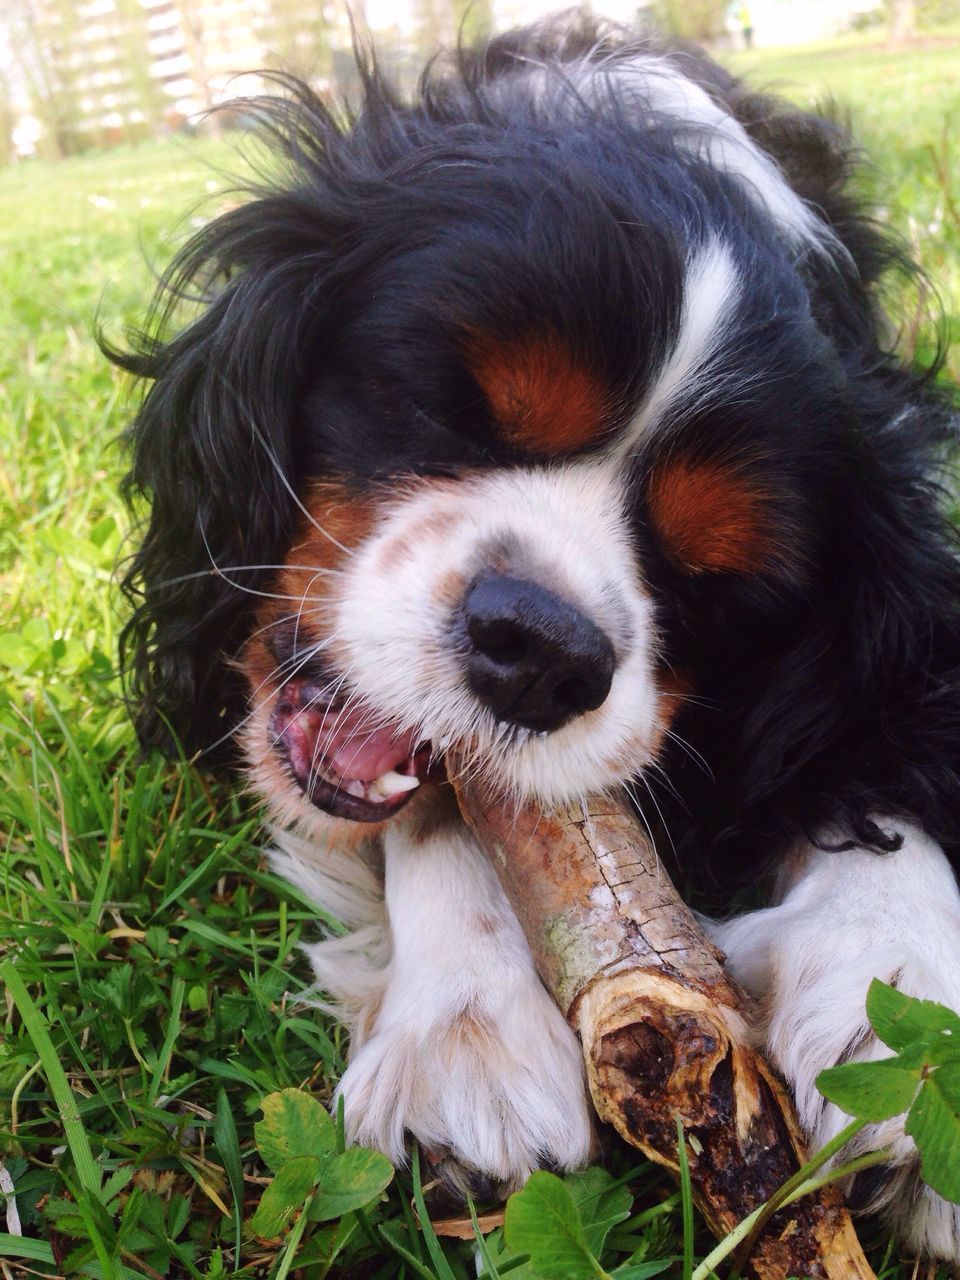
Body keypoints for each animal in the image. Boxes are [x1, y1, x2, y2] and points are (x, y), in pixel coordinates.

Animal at [108, 12, 960, 1259]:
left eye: (714, 580)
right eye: (446, 406)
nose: (548, 648)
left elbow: (882, 760)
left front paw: (893, 980)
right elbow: (450, 806)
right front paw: (472, 1020)